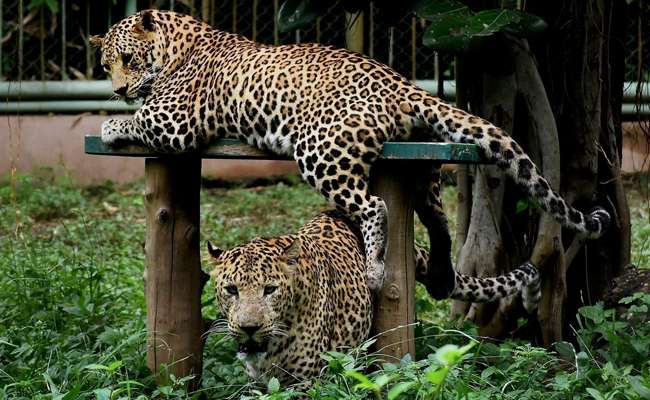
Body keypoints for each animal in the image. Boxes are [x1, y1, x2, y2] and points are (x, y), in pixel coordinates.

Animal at [91, 9, 610, 295]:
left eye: (128, 59)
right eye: (105, 64)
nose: (117, 90)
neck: (179, 42)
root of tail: (403, 84)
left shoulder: (174, 122)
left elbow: (138, 119)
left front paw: (111, 123)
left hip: (320, 151)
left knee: (376, 205)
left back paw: (377, 269)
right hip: (422, 164)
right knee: (436, 218)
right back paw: (442, 271)